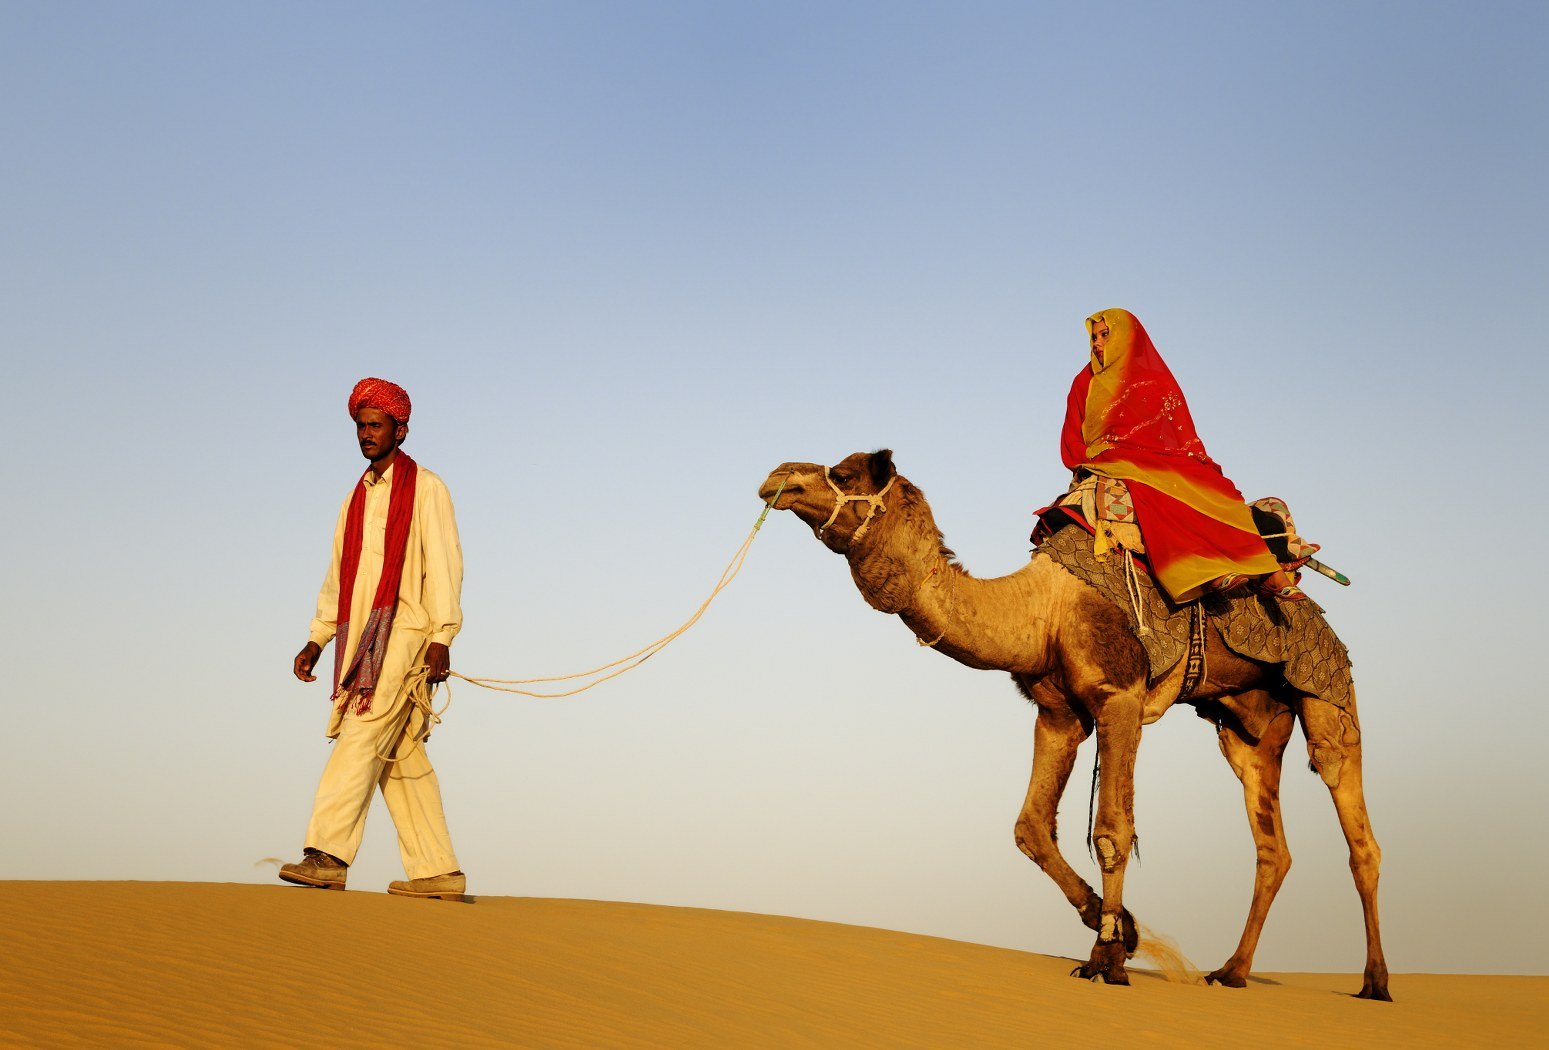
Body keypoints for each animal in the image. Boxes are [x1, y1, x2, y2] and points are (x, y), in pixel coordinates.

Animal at [758, 450, 1390, 1000]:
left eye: (842, 473)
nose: (777, 477)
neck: (1044, 609)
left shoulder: (1120, 698)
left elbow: (1112, 829)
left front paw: (1107, 961)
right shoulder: (1058, 715)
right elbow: (1031, 828)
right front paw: (1120, 929)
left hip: (1328, 693)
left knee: (1356, 825)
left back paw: (1375, 983)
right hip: (1246, 726)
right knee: (1271, 845)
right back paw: (1231, 972)